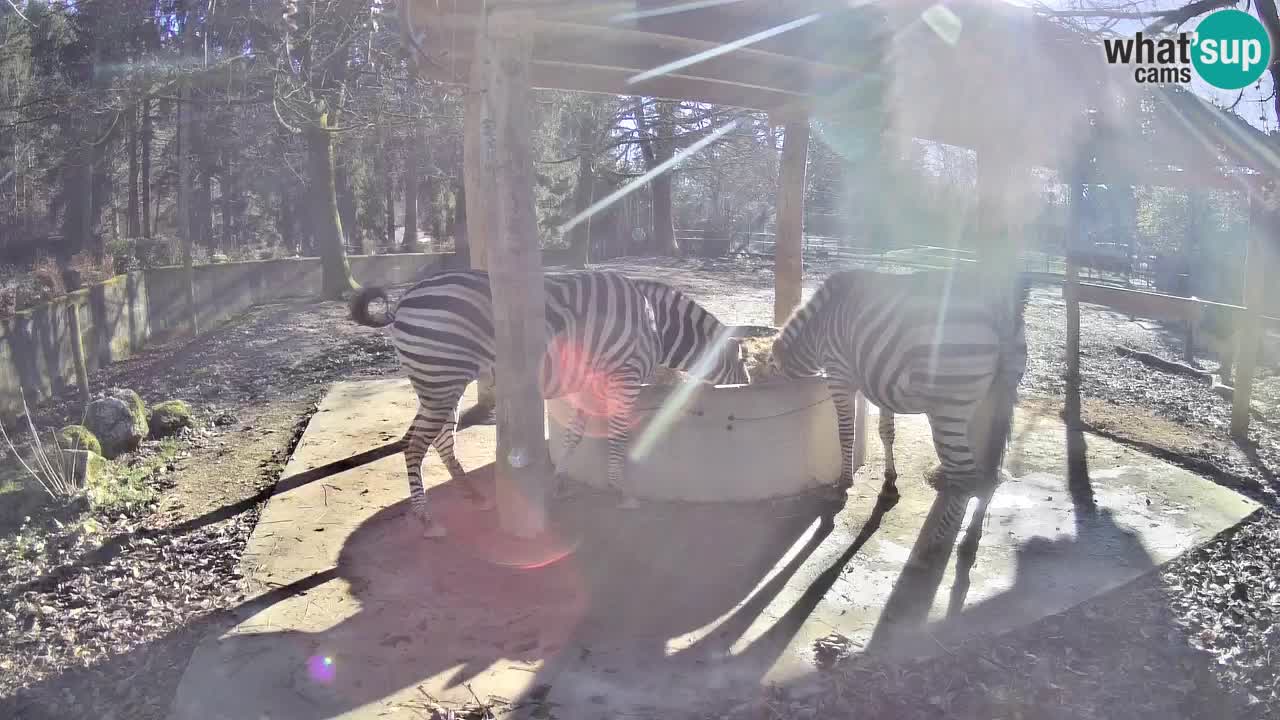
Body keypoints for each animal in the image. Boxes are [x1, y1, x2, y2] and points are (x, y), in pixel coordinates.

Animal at [350, 270, 747, 538]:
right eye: (742, 364)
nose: (747, 387)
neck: (655, 325)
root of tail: (405, 298)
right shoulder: (625, 378)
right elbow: (618, 437)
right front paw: (622, 490)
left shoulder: (591, 382)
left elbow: (575, 435)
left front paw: (558, 483)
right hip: (441, 378)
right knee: (415, 444)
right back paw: (426, 518)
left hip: (440, 382)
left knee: (439, 438)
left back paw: (472, 494)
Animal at [768, 269, 1029, 556]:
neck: (818, 328)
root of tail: (1001, 309)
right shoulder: (881, 384)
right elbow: (886, 432)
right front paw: (889, 483)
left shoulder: (839, 374)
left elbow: (846, 434)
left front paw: (844, 484)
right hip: (995, 401)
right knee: (990, 474)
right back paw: (971, 537)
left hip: (947, 409)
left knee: (967, 478)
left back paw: (935, 543)